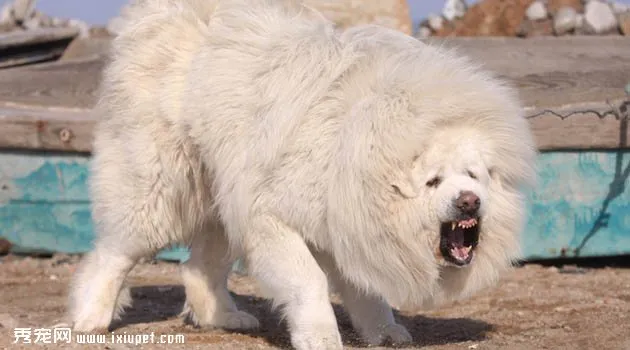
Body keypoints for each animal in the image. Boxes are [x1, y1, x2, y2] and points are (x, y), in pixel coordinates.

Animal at [69, 0, 540, 348]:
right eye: (433, 182)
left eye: (473, 176)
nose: (469, 201)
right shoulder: (271, 218)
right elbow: (309, 282)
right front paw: (320, 337)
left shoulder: (347, 227)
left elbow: (366, 292)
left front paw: (383, 332)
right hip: (159, 188)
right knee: (116, 254)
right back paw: (90, 318)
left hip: (225, 197)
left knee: (199, 266)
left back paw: (222, 317)